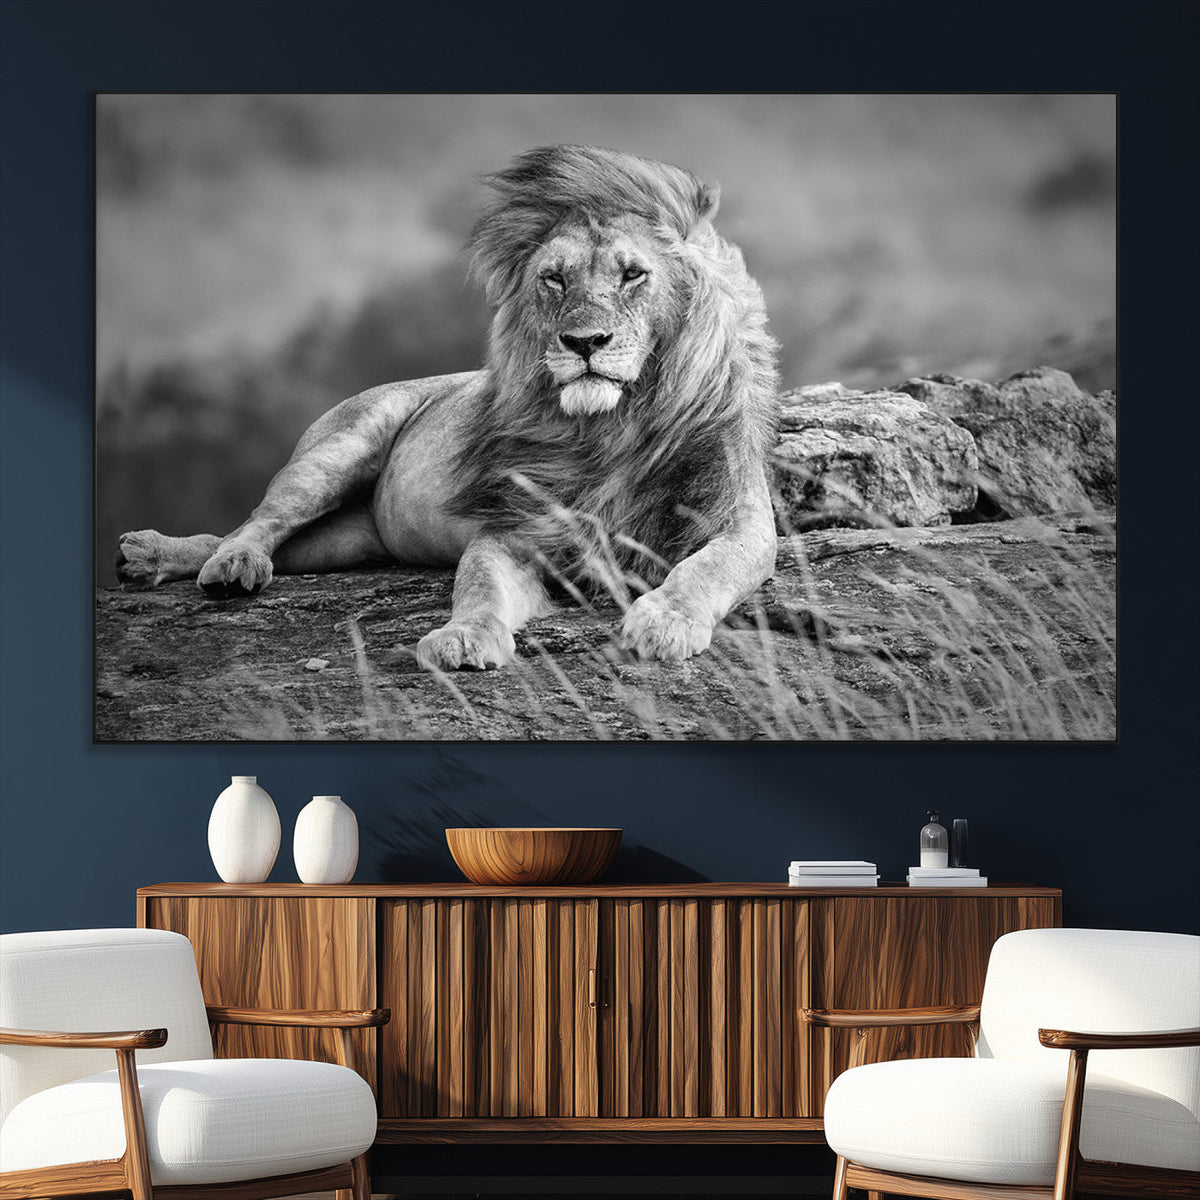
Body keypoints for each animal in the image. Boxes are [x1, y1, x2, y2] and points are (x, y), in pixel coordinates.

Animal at [116, 145, 780, 670]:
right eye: (554, 279)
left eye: (633, 275)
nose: (584, 342)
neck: (611, 427)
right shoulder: (512, 529)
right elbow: (478, 586)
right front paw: (462, 639)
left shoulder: (740, 521)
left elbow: (708, 567)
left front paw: (665, 621)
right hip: (337, 450)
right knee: (257, 522)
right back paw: (216, 563)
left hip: (346, 541)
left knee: (269, 540)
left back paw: (152, 558)